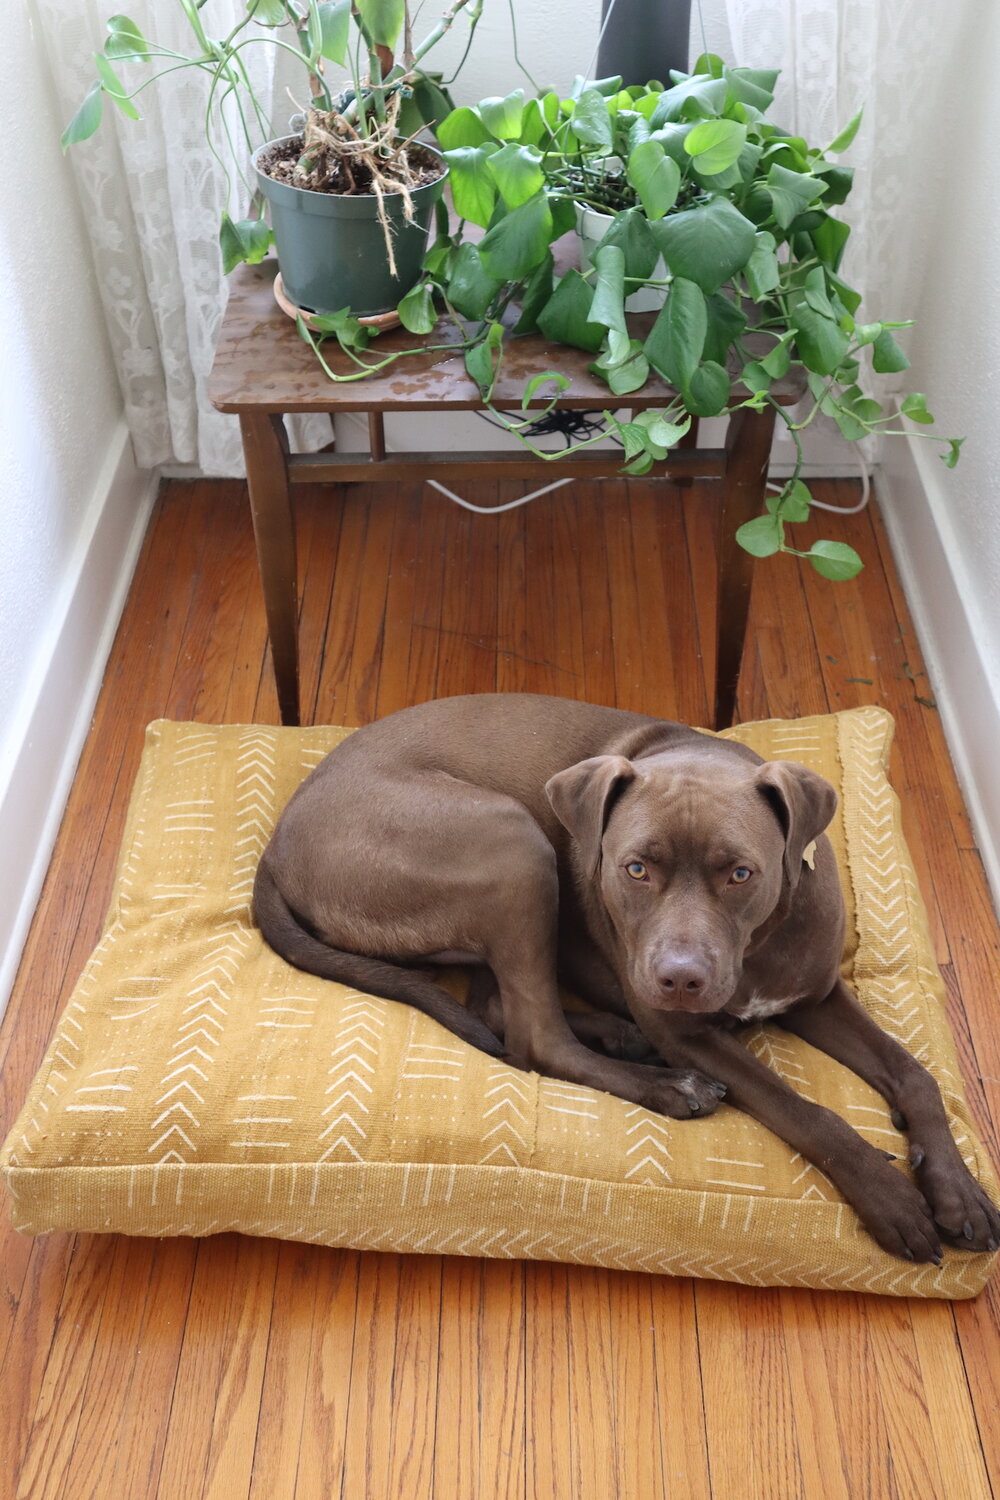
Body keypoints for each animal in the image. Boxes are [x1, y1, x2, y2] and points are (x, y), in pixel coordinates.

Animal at [256, 693, 1000, 1266]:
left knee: (499, 1006)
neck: (757, 949)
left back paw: (621, 1037)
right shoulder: (691, 1034)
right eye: (635, 868)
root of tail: (276, 841)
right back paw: (668, 1086)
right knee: (535, 1037)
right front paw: (890, 1196)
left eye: (741, 873)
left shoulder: (816, 996)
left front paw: (958, 1189)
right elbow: (804, 1110)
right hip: (512, 842)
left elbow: (916, 1074)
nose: (680, 980)